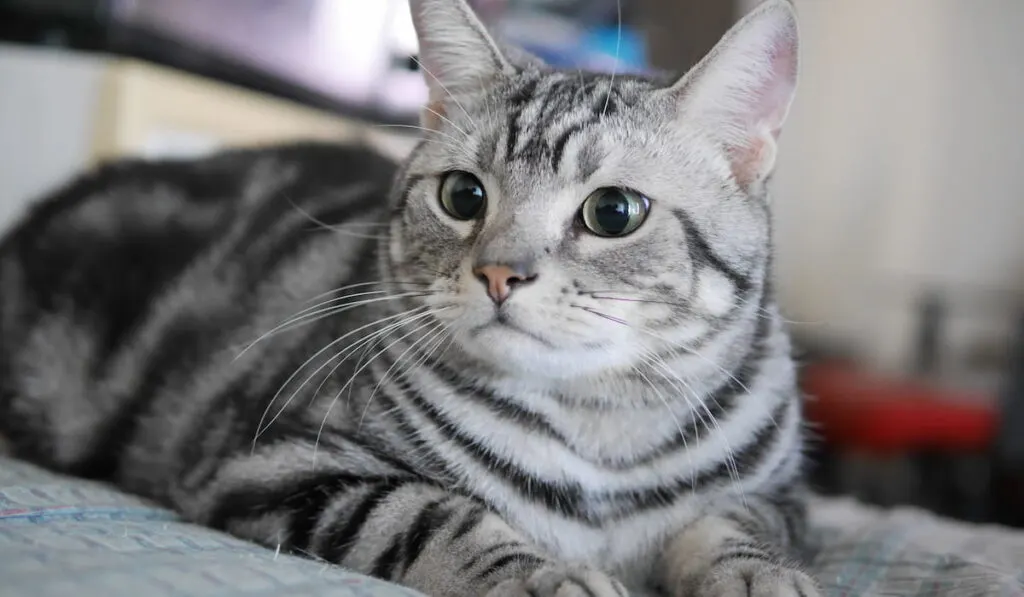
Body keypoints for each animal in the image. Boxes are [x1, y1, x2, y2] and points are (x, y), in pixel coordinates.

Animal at [0, 1, 815, 597]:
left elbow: (732, 523)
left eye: (613, 213)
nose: (499, 273)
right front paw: (548, 574)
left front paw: (759, 576)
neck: (601, 434)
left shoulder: (782, 496)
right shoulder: (278, 463)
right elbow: (436, 513)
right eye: (463, 196)